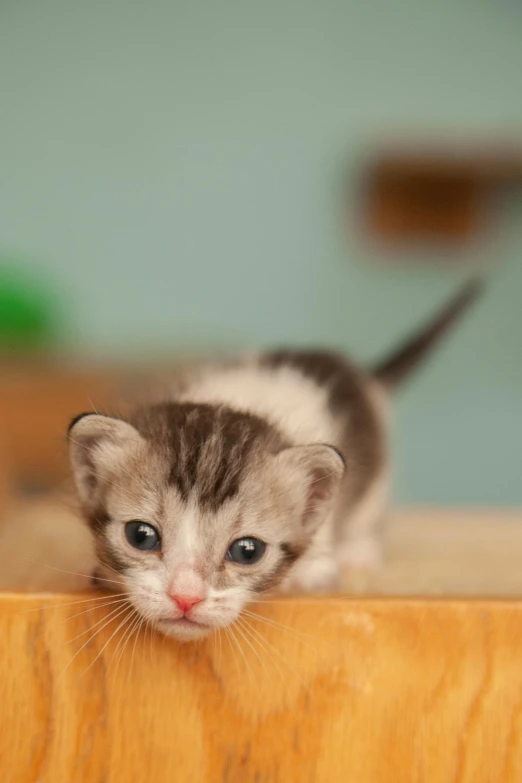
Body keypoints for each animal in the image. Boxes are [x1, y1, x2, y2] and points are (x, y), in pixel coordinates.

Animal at [69, 280, 480, 636]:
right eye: (140, 536)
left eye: (247, 551)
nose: (186, 597)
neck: (236, 403)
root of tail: (363, 377)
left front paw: (310, 570)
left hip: (377, 473)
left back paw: (358, 552)